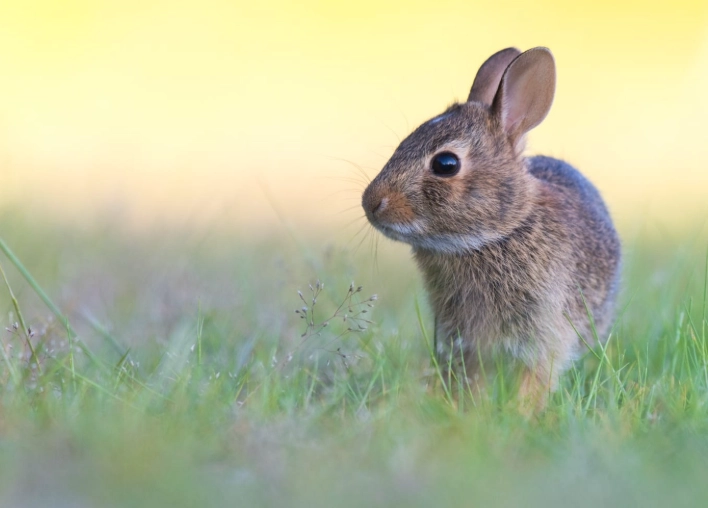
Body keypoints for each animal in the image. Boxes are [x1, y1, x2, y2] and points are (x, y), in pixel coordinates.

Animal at [361, 47, 621, 410]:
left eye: (445, 164)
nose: (371, 202)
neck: (498, 233)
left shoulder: (544, 332)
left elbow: (535, 378)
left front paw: (520, 414)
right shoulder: (460, 338)